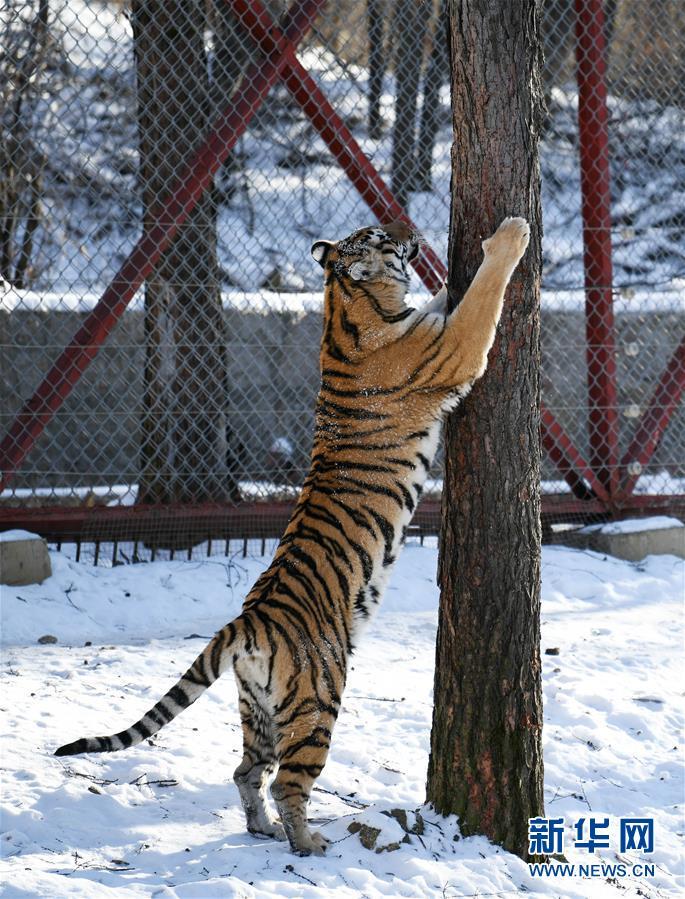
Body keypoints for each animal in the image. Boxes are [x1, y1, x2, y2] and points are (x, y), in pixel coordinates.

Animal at [56, 216, 532, 856]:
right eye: (380, 236)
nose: (409, 231)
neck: (346, 304)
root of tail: (246, 623)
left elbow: (445, 298)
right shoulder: (456, 347)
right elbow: (482, 293)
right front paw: (509, 236)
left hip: (255, 708)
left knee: (245, 771)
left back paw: (260, 828)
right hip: (317, 704)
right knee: (288, 780)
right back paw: (308, 843)